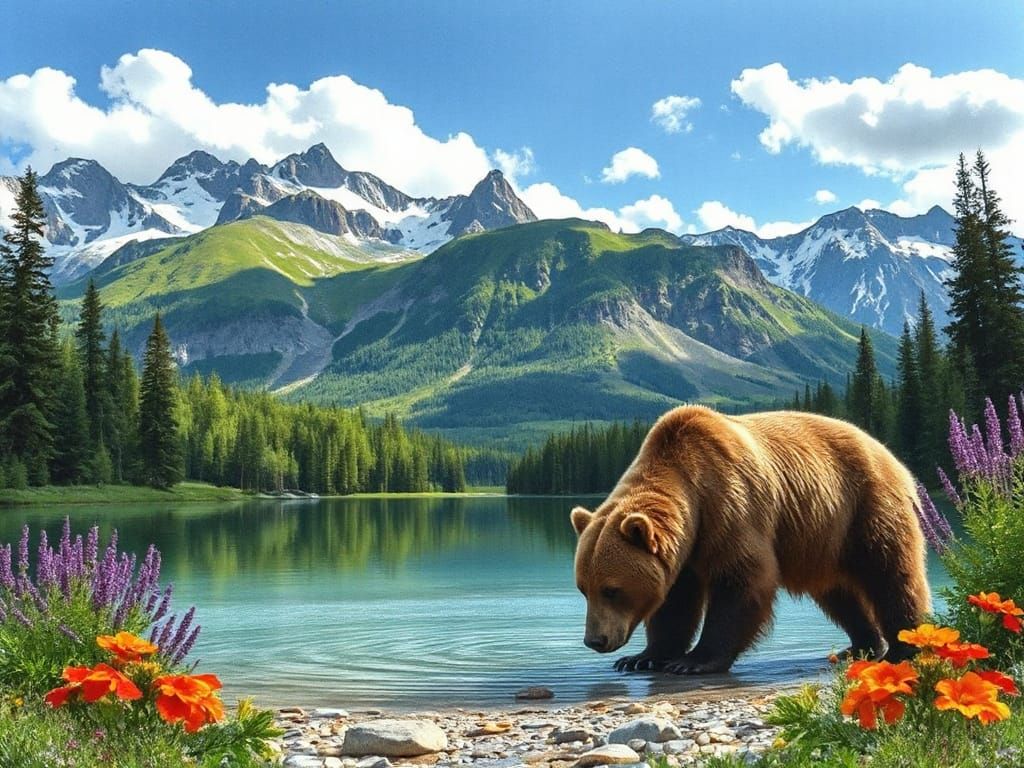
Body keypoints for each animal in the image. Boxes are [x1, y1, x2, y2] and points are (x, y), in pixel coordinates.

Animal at [571, 404, 931, 674]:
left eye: (611, 589)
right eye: (584, 588)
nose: (595, 640)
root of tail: (891, 456)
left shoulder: (730, 507)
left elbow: (741, 579)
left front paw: (694, 661)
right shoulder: (684, 552)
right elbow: (674, 603)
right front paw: (641, 657)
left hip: (866, 506)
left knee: (891, 574)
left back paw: (903, 646)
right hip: (824, 538)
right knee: (837, 592)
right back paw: (861, 645)